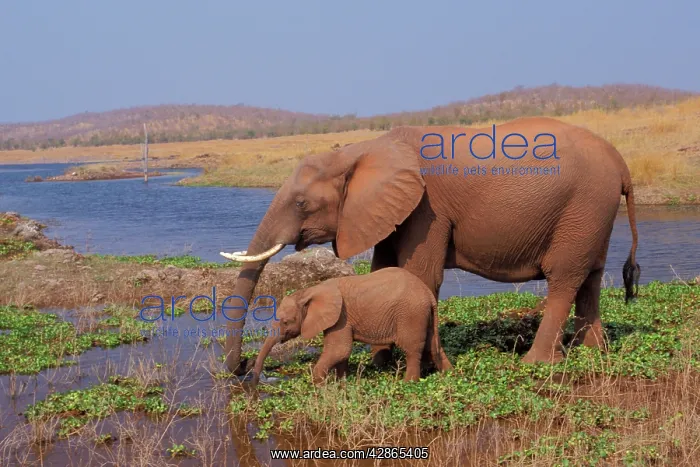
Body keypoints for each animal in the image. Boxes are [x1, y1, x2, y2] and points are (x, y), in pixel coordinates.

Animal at [251, 267, 453, 385]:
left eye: (286, 322)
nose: (257, 380)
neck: (309, 291)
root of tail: (428, 294)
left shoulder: (341, 317)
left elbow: (339, 350)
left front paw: (318, 383)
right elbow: (341, 352)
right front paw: (341, 382)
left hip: (410, 314)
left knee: (411, 349)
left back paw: (408, 383)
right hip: (422, 315)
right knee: (432, 345)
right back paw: (449, 374)